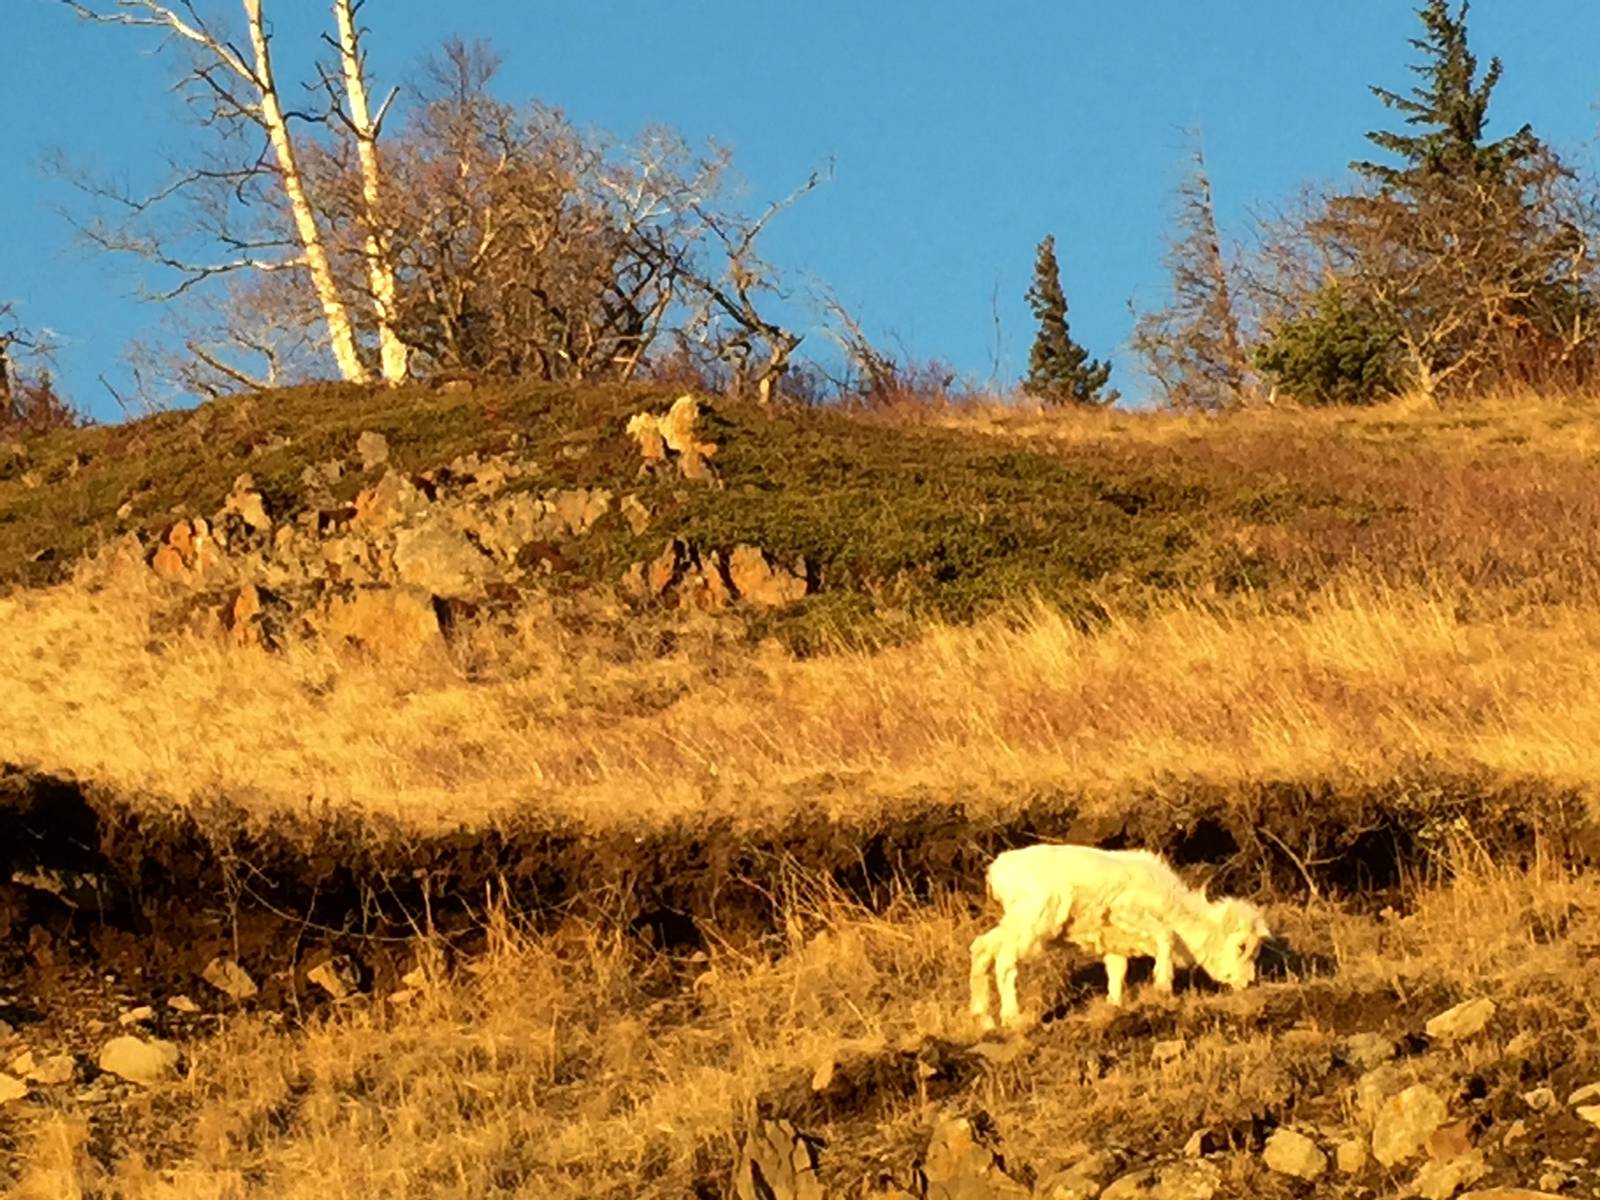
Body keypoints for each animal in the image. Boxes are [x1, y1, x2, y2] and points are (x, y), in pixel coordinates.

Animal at [968, 843, 1271, 1029]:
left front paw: (1115, 1006)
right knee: (1005, 962)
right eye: (1241, 946)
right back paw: (1012, 1018)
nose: (1248, 982)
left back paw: (985, 1019)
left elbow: (1116, 974)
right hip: (1032, 920)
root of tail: (998, 870)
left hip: (1013, 922)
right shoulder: (1127, 912)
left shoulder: (1116, 946)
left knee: (981, 950)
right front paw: (1162, 985)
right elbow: (1165, 936)